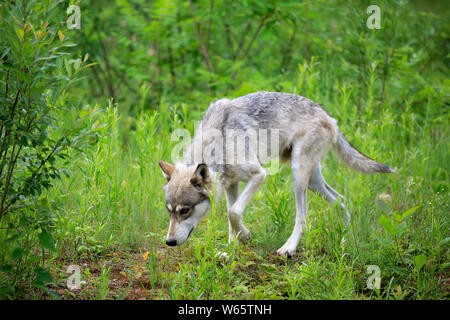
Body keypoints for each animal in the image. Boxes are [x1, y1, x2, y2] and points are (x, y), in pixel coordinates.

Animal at [159, 91, 394, 256]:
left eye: (184, 211)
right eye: (169, 211)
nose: (169, 242)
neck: (219, 142)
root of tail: (328, 115)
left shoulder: (258, 175)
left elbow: (233, 213)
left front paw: (245, 236)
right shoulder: (231, 185)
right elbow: (231, 217)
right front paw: (231, 248)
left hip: (298, 176)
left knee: (303, 217)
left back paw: (288, 248)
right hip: (313, 181)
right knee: (341, 201)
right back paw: (345, 241)